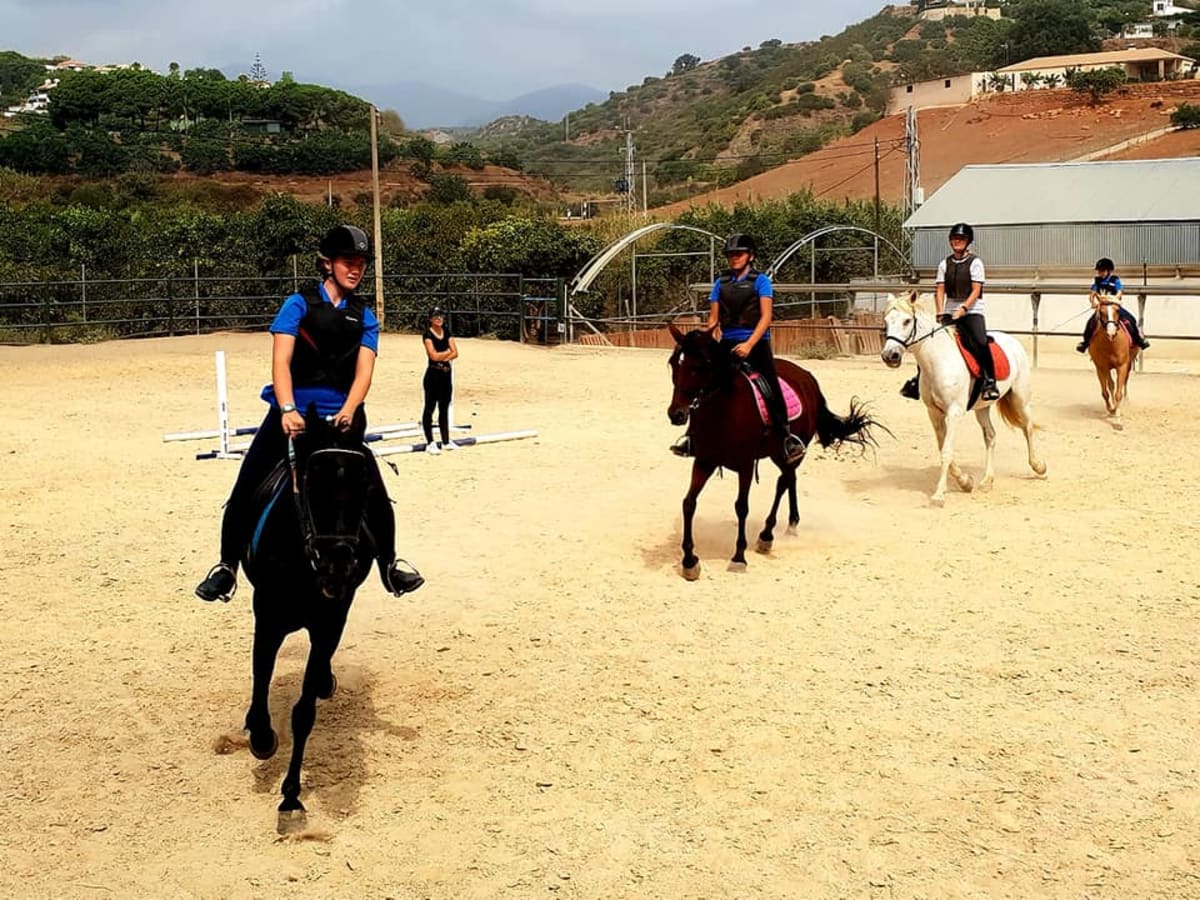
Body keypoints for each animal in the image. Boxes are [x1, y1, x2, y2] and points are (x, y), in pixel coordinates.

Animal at [239, 409, 377, 832]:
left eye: (365, 483)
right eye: (312, 481)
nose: (338, 564)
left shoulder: (330, 621)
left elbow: (304, 712)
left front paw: (291, 795)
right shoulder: (267, 616)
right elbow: (261, 675)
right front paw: (261, 735)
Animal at [667, 323, 882, 580]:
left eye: (701, 366)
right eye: (673, 363)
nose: (676, 414)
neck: (724, 410)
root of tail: (807, 377)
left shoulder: (745, 464)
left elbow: (741, 507)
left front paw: (739, 557)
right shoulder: (704, 460)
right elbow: (689, 503)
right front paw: (689, 561)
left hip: (788, 452)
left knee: (784, 482)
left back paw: (767, 535)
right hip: (778, 453)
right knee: (790, 479)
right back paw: (791, 525)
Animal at [879, 291, 1046, 506]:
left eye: (907, 321)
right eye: (886, 321)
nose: (889, 355)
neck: (938, 360)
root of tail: (1012, 341)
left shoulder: (954, 412)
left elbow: (946, 452)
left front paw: (939, 495)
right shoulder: (934, 413)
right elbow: (943, 449)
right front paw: (965, 482)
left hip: (1020, 399)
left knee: (1028, 428)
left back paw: (1039, 466)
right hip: (982, 407)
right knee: (991, 436)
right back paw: (987, 481)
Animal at [1087, 298, 1138, 429]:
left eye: (1117, 310)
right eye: (1101, 311)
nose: (1111, 332)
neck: (1111, 344)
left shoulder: (1122, 366)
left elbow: (1118, 393)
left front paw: (1118, 421)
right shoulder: (1101, 367)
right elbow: (1106, 392)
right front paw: (1111, 410)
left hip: (1129, 364)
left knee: (1124, 382)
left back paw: (1126, 400)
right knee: (1111, 384)